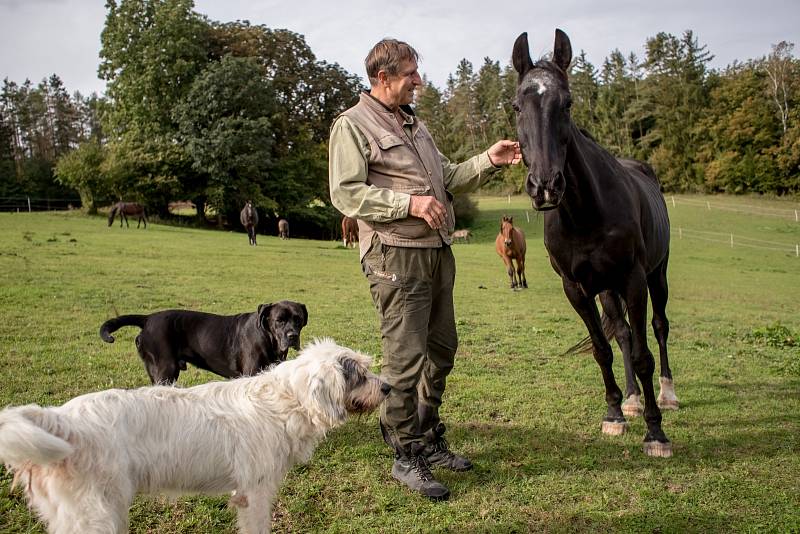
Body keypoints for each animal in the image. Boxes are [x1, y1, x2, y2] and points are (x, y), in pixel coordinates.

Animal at [0, 340, 390, 534]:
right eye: (359, 374)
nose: (388, 387)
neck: (284, 401)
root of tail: (61, 420)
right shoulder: (254, 493)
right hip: (94, 516)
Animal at [101, 302, 308, 386]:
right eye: (279, 320)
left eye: (298, 319)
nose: (292, 336)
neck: (266, 335)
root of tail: (148, 318)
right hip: (165, 369)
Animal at [512, 29, 676, 458]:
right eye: (517, 106)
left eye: (567, 103)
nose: (546, 186)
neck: (586, 213)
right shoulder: (577, 288)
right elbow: (605, 349)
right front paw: (615, 413)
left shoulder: (634, 279)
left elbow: (643, 353)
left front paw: (656, 432)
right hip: (607, 289)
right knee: (622, 333)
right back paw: (632, 399)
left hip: (656, 276)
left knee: (659, 328)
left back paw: (667, 394)